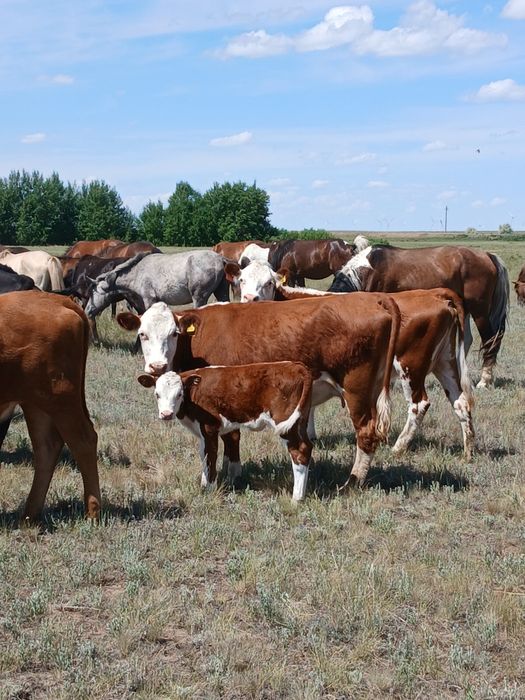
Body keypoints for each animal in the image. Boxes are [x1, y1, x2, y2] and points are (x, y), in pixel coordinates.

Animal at [0, 291, 100, 522]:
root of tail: (57, 299)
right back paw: (29, 516)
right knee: (47, 446)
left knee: (83, 441)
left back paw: (92, 513)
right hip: (35, 403)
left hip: (60, 399)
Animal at [138, 362, 314, 501]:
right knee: (307, 447)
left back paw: (296, 498)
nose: (166, 414)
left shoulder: (209, 428)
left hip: (287, 425)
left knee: (299, 452)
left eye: (179, 394)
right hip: (301, 421)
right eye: (157, 394)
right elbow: (204, 455)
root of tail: (296, 366)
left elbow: (211, 456)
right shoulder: (203, 432)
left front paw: (209, 489)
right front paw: (204, 484)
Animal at [328, 239, 509, 388]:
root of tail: (487, 256)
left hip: (480, 311)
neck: (369, 271)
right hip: (464, 309)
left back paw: (484, 381)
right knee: (467, 340)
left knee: (490, 340)